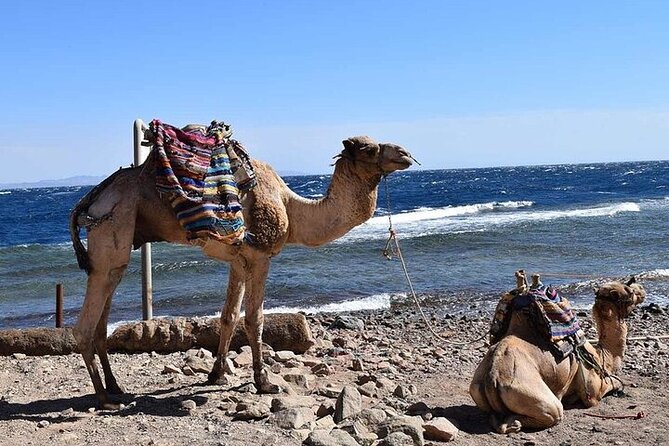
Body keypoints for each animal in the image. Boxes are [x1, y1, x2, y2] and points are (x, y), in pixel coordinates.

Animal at [69, 133, 413, 408]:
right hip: (113, 227)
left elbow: (228, 316)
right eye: (368, 148)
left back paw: (115, 387)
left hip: (118, 247)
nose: (405, 153)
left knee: (102, 319)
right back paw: (104, 398)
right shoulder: (260, 256)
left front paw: (216, 374)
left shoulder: (237, 260)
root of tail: (91, 199)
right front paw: (264, 381)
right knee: (84, 326)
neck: (290, 207)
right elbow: (254, 319)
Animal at [469, 274, 645, 433]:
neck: (601, 355)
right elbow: (612, 383)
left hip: (476, 388)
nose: (642, 290)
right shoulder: (592, 390)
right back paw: (515, 423)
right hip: (531, 394)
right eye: (630, 291)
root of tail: (492, 377)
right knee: (552, 413)